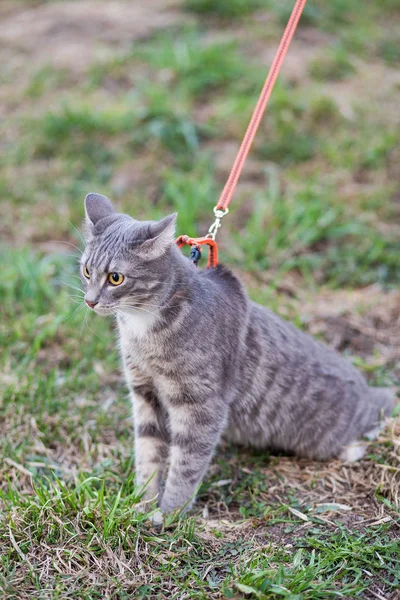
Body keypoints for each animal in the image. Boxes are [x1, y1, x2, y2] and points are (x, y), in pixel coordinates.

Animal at [79, 193, 394, 516]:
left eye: (116, 278)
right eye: (87, 271)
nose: (90, 301)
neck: (143, 328)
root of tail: (368, 390)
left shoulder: (201, 405)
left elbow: (186, 463)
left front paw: (170, 514)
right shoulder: (144, 391)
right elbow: (147, 452)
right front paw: (142, 503)